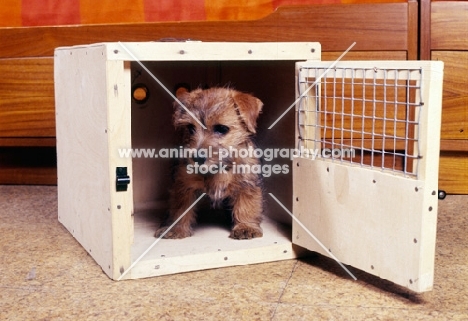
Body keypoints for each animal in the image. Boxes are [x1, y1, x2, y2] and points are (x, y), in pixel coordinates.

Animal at [154, 86, 262, 239]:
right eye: (190, 128)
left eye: (222, 129)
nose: (197, 158)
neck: (218, 169)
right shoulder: (183, 184)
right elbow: (180, 208)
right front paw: (176, 229)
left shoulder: (247, 183)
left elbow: (246, 205)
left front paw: (245, 227)